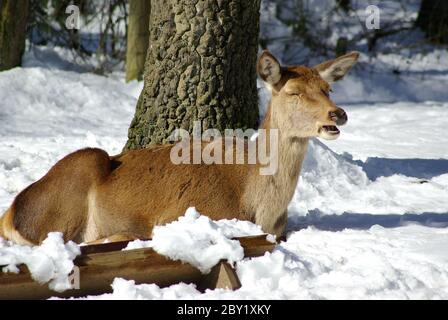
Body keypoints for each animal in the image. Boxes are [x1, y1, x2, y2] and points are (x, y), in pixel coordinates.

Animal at [0, 50, 358, 245]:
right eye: (294, 92)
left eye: (327, 89)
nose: (337, 113)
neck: (258, 204)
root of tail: (10, 213)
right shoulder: (180, 213)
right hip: (73, 182)